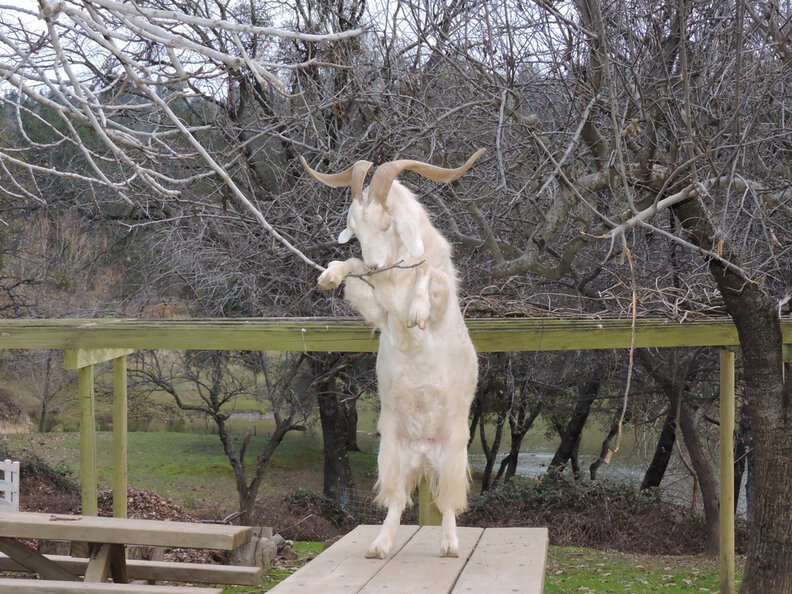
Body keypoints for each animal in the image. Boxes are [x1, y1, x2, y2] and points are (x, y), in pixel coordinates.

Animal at [301, 150, 484, 559]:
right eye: (355, 228)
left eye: (387, 224)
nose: (375, 264)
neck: (393, 278)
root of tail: (424, 452)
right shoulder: (379, 310)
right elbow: (353, 272)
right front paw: (330, 275)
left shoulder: (443, 298)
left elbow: (429, 274)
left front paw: (417, 310)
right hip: (392, 452)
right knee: (398, 500)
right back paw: (380, 545)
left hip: (454, 451)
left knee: (448, 502)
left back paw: (449, 545)